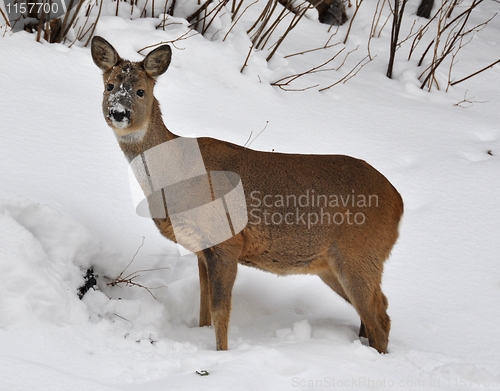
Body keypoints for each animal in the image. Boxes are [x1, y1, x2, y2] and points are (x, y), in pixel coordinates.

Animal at [91, 37, 402, 356]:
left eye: (141, 91)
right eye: (109, 86)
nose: (118, 113)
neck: (178, 172)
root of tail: (398, 202)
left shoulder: (227, 241)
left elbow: (221, 310)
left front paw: (222, 355)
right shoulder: (201, 248)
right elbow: (203, 308)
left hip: (359, 254)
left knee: (380, 317)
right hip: (332, 265)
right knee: (376, 310)